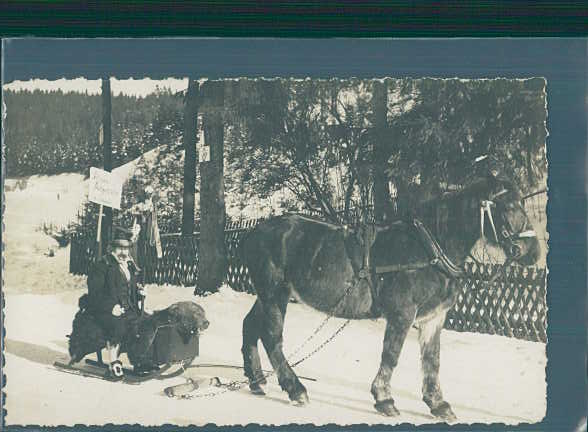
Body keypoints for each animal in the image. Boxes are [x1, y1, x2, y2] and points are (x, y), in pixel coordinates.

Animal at [238, 167, 536, 420]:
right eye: (509, 205)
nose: (533, 251)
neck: (430, 248)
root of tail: (255, 232)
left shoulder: (434, 318)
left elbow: (432, 360)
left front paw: (438, 404)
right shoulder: (402, 313)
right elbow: (392, 354)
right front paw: (384, 399)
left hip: (265, 295)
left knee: (250, 326)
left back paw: (257, 381)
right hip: (275, 293)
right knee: (272, 338)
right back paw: (295, 388)